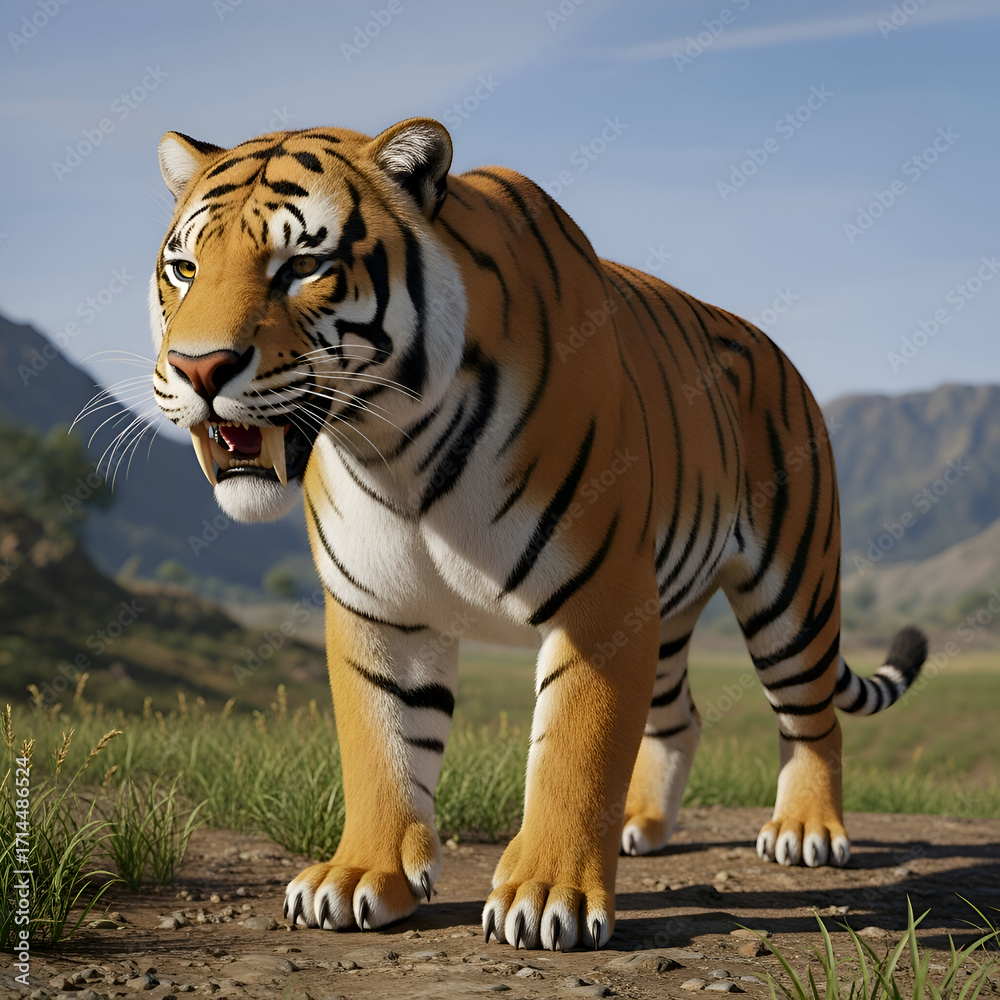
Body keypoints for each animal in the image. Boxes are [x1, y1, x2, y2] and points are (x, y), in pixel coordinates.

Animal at [150, 117, 927, 951]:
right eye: (185, 269)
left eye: (302, 266)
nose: (199, 369)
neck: (396, 451)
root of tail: (779, 351)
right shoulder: (381, 609)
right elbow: (383, 745)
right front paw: (360, 876)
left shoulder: (599, 598)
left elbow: (572, 755)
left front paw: (551, 896)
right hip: (669, 607)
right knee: (678, 717)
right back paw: (642, 825)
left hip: (792, 593)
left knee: (812, 717)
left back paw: (806, 831)